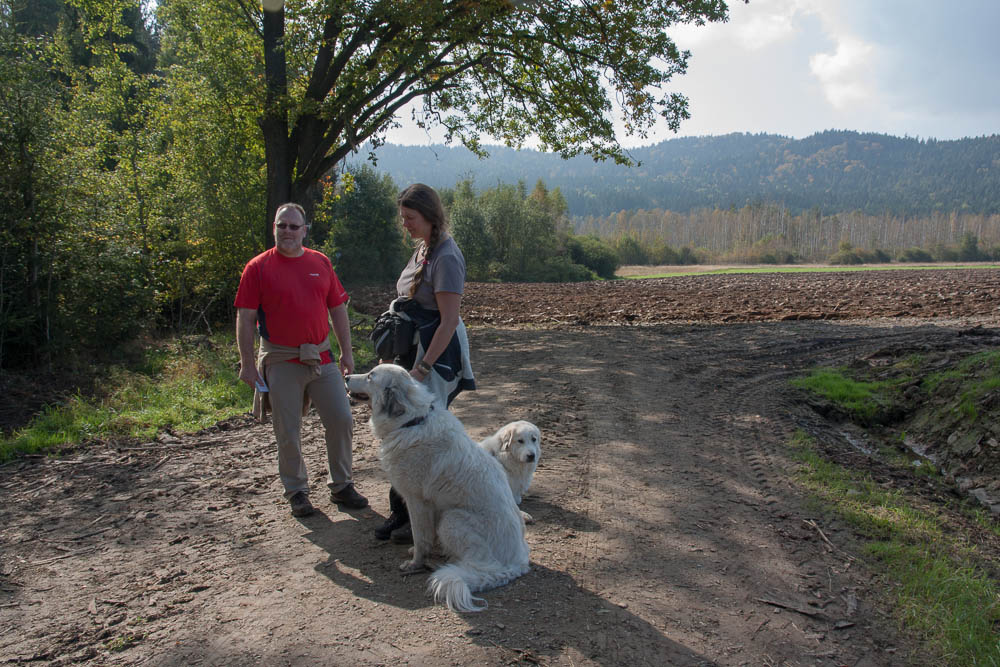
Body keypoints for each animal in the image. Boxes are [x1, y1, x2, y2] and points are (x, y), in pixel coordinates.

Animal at [346, 366, 532, 616]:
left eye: (370, 376)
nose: (346, 376)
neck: (411, 422)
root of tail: (516, 564)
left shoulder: (416, 500)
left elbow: (421, 536)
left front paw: (415, 563)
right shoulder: (431, 504)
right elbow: (426, 536)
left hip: (451, 519)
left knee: (474, 564)